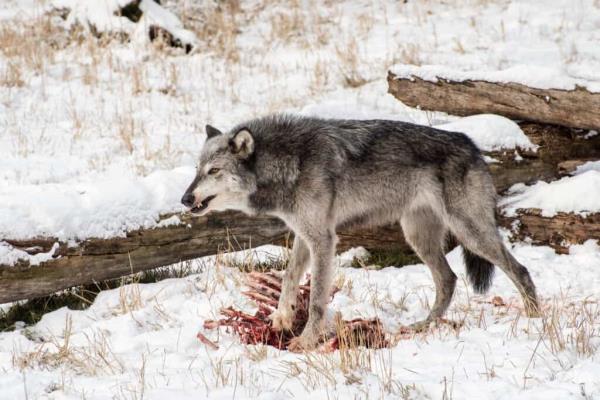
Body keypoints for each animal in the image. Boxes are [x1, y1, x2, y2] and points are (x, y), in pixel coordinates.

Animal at [180, 114, 540, 352]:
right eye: (197, 170)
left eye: (214, 171)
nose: (184, 199)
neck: (288, 163)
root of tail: (474, 147)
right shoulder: (304, 235)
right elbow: (289, 277)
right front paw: (281, 318)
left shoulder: (323, 239)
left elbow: (316, 300)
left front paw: (305, 341)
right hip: (419, 236)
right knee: (448, 280)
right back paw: (423, 326)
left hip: (470, 233)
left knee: (520, 270)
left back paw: (535, 320)